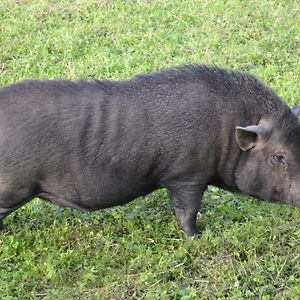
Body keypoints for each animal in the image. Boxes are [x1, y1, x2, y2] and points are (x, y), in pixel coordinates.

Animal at [0, 65, 300, 237]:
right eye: (278, 157)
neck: (227, 130)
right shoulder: (187, 176)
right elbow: (187, 212)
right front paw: (197, 238)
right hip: (13, 186)